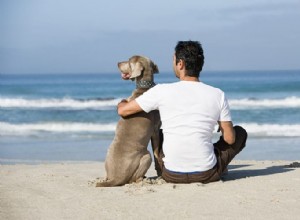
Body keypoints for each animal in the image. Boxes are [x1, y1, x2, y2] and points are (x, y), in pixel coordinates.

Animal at [96, 55, 162, 187]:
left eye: (129, 61)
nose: (117, 63)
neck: (144, 86)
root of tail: (116, 178)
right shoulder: (155, 129)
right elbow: (157, 153)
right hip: (147, 156)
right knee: (134, 179)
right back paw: (145, 179)